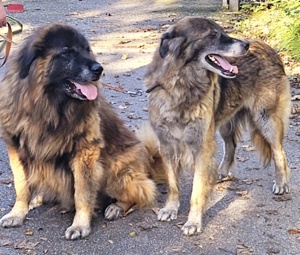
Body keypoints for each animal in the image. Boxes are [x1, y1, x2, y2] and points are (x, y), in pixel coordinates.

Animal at [0, 23, 164, 239]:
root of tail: (149, 164)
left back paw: (116, 207)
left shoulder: (85, 153)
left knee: (141, 192)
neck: (49, 109)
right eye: (67, 52)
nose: (99, 69)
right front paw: (18, 212)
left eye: (87, 50)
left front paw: (80, 225)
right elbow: (21, 186)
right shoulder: (17, 149)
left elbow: (82, 194)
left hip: (115, 171)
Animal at [145, 17, 290, 236]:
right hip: (225, 122)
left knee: (279, 151)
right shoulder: (167, 145)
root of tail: (268, 47)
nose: (245, 46)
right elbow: (172, 183)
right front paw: (171, 208)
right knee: (231, 145)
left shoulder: (202, 148)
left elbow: (197, 190)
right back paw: (222, 172)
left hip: (266, 119)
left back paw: (281, 183)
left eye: (222, 31)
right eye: (213, 35)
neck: (183, 85)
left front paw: (193, 222)